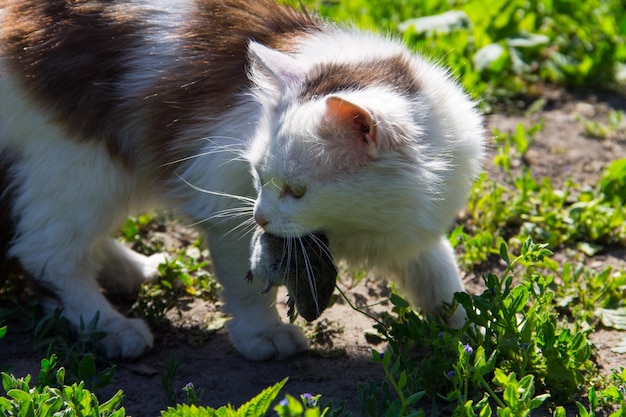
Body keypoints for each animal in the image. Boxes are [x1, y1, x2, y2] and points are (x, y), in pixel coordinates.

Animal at [0, 0, 482, 360]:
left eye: (297, 191)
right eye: (258, 177)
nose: (261, 217)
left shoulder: (414, 231)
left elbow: (441, 278)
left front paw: (470, 334)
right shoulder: (225, 201)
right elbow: (247, 287)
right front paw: (263, 336)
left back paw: (131, 270)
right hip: (81, 166)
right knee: (48, 255)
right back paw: (111, 327)